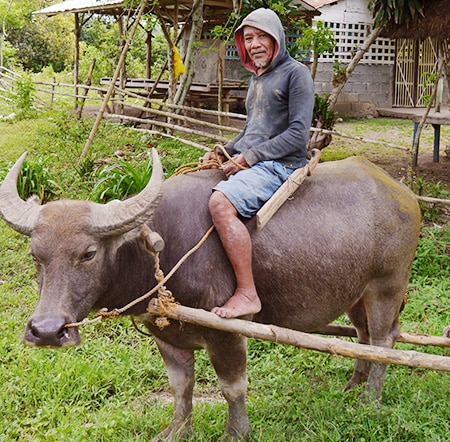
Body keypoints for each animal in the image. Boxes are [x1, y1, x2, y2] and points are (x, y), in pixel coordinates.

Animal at [0, 149, 422, 442]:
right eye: (35, 255)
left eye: (88, 254)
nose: (47, 331)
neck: (160, 248)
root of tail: (403, 193)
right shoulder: (165, 333)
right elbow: (180, 386)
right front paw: (176, 430)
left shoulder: (227, 333)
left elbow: (232, 387)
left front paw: (236, 433)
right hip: (356, 294)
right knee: (363, 338)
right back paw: (352, 387)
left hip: (387, 286)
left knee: (383, 340)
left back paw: (369, 400)